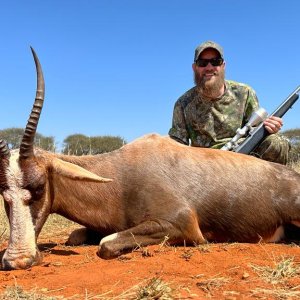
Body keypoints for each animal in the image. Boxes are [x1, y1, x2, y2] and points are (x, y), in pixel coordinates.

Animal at [0, 49, 300, 270]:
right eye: (4, 194)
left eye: (39, 187)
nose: (16, 260)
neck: (121, 177)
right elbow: (76, 235)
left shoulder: (183, 224)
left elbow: (106, 243)